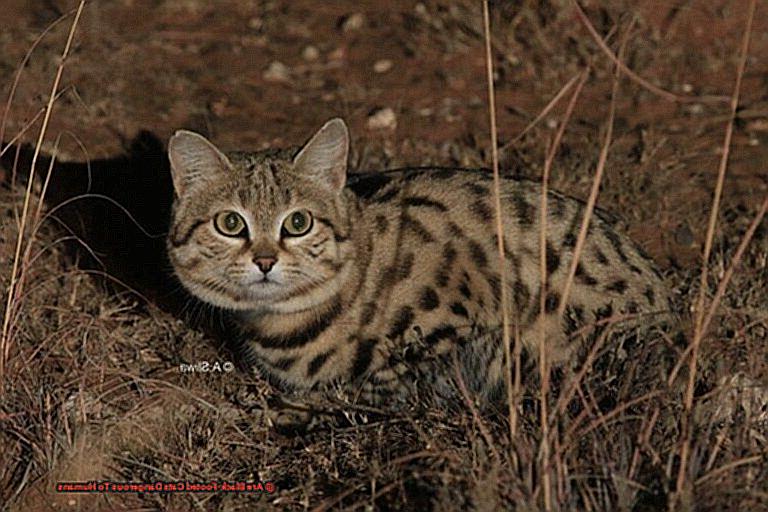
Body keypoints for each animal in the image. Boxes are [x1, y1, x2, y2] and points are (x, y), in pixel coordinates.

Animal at [165, 118, 668, 426]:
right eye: (231, 224)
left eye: (298, 222)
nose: (265, 261)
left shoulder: (466, 331)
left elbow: (377, 387)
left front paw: (293, 408)